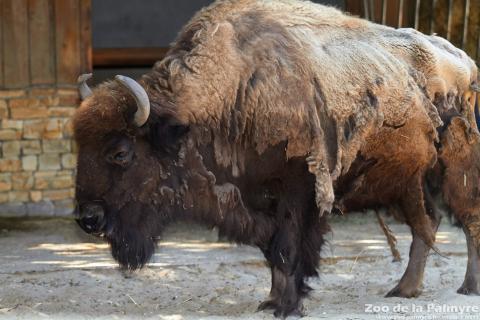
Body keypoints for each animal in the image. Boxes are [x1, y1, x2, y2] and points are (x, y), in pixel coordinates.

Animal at [73, 0, 478, 316]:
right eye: (79, 146)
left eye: (120, 152)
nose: (87, 219)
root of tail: (462, 59)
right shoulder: (256, 202)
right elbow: (272, 253)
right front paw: (271, 301)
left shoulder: (296, 194)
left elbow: (288, 248)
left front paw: (287, 306)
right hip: (406, 181)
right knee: (428, 222)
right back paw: (405, 289)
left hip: (454, 167)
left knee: (466, 218)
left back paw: (466, 287)